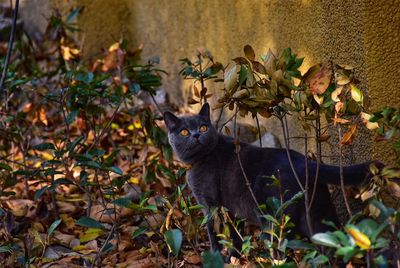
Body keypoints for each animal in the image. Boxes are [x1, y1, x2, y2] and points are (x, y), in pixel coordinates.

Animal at [162, 102, 376, 255]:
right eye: (184, 131)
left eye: (204, 127)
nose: (196, 135)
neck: (201, 160)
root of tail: (305, 163)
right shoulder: (230, 209)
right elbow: (235, 234)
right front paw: (235, 256)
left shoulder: (211, 204)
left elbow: (214, 232)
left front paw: (218, 256)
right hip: (316, 212)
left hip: (273, 215)